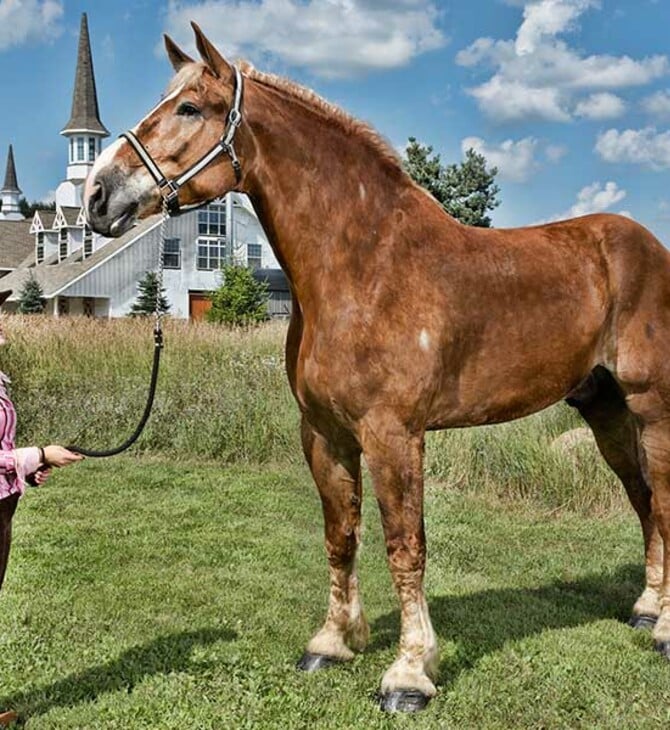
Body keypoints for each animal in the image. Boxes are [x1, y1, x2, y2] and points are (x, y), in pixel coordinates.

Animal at [85, 24, 670, 712]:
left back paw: (663, 630)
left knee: (662, 500)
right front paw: (333, 642)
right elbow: (342, 535)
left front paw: (410, 673)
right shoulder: (325, 433)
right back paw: (646, 607)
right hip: (605, 409)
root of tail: (649, 247)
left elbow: (404, 545)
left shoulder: (394, 434)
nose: (98, 195)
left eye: (189, 108)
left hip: (652, 408)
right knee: (643, 499)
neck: (364, 267)